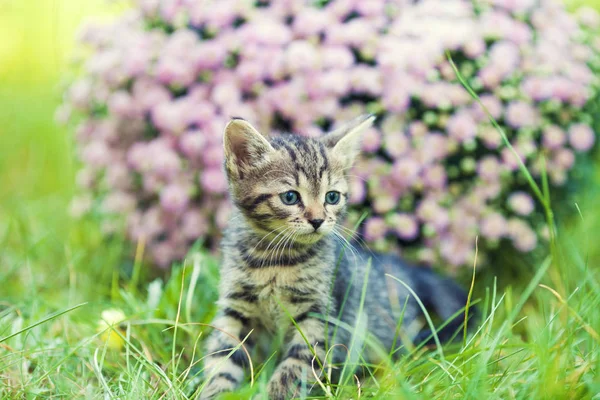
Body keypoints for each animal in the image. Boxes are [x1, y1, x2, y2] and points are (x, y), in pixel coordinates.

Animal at [199, 115, 476, 400]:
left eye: (331, 197)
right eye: (290, 197)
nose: (318, 220)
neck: (274, 259)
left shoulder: (320, 316)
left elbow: (295, 367)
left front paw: (276, 394)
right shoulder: (236, 309)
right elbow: (222, 357)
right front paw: (213, 391)